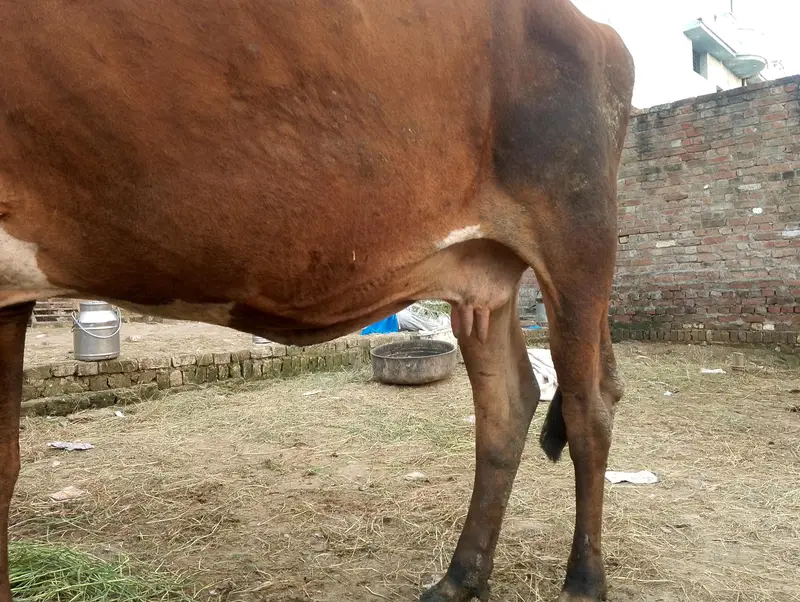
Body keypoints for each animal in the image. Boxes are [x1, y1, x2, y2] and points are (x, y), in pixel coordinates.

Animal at [0, 1, 634, 600]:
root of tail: (600, 30)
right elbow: (6, 462)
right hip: (484, 272)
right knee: (507, 403)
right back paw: (460, 579)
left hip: (577, 236)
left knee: (589, 408)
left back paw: (583, 584)